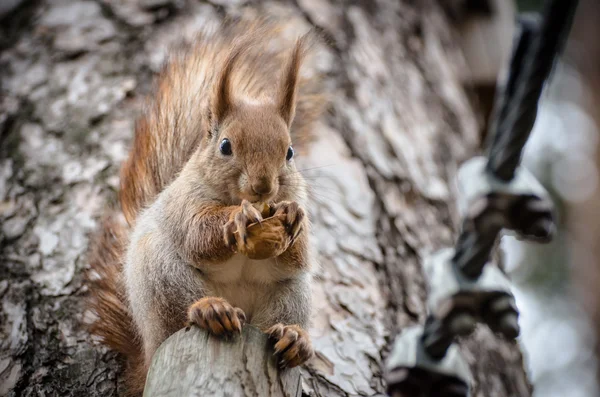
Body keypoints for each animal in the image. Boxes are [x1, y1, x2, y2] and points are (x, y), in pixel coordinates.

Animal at [85, 17, 324, 394]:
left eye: (290, 152)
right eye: (225, 146)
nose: (263, 186)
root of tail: (147, 353)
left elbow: (299, 256)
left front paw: (291, 215)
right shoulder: (185, 203)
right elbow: (198, 236)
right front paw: (237, 218)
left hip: (292, 293)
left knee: (280, 314)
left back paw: (293, 337)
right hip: (162, 274)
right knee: (182, 309)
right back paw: (211, 311)